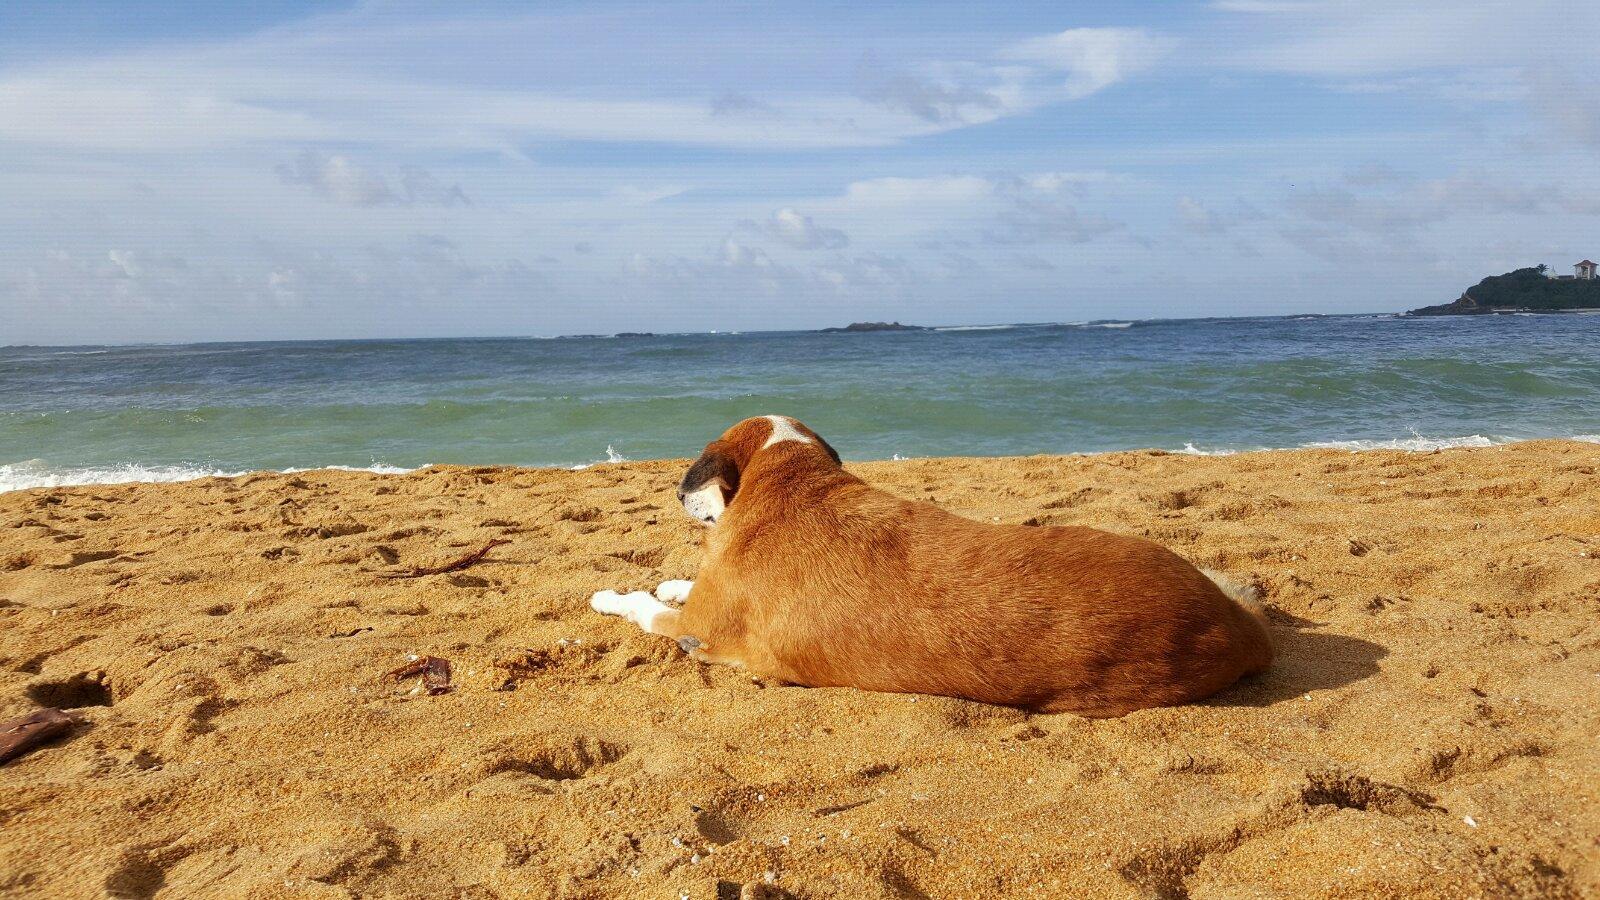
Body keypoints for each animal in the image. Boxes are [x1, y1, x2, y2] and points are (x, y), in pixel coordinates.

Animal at [588, 413, 1273, 714]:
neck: (791, 486)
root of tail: (1238, 629)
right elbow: (679, 584)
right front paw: (672, 578)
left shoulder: (693, 628)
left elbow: (643, 606)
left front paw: (612, 596)